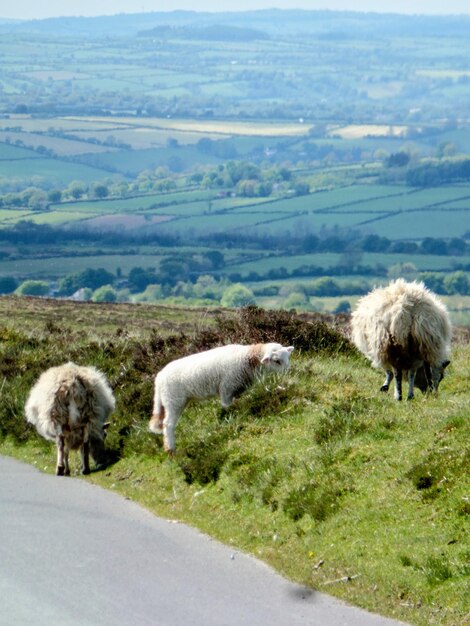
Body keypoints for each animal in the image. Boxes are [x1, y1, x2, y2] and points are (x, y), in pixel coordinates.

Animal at [148, 342, 294, 454]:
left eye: (287, 358)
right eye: (277, 361)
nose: (288, 372)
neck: (247, 358)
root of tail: (159, 379)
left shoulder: (237, 389)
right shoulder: (227, 388)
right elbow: (227, 406)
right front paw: (230, 417)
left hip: (177, 401)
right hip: (173, 400)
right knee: (168, 424)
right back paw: (171, 450)